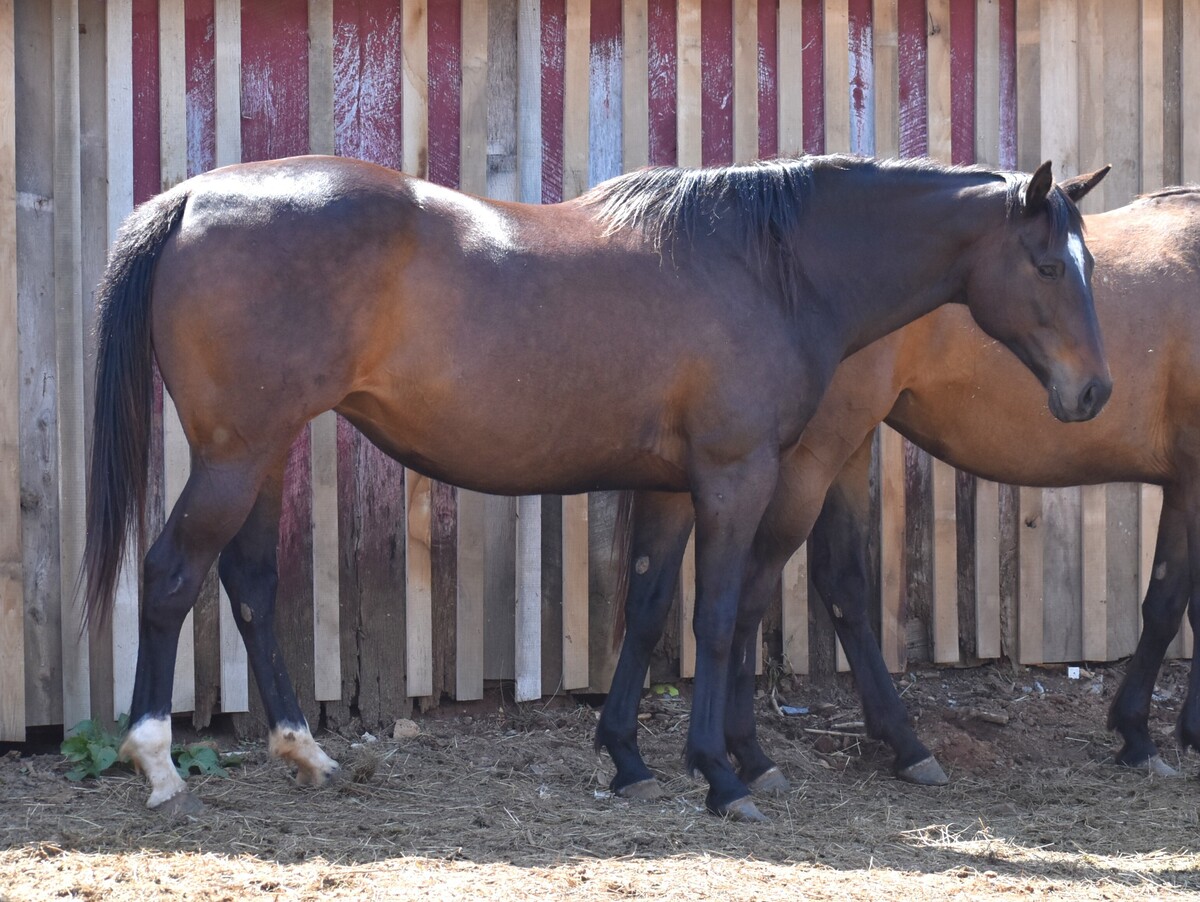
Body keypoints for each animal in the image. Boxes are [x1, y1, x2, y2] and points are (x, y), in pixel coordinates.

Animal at [83, 153, 1111, 821]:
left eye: (1090, 263)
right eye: (1046, 263)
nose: (1093, 391)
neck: (766, 268)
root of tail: (194, 196)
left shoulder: (669, 486)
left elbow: (650, 610)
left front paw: (627, 760)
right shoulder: (735, 476)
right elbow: (716, 617)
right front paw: (721, 777)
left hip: (260, 452)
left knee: (250, 585)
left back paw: (307, 753)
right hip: (236, 452)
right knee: (172, 575)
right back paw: (158, 764)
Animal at [598, 184, 1199, 800]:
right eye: (1049, 269)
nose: (1093, 391)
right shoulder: (1191, 482)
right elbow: (1171, 604)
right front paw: (1144, 733)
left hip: (846, 451)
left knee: (837, 586)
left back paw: (895, 744)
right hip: (812, 462)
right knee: (764, 589)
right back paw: (766, 753)